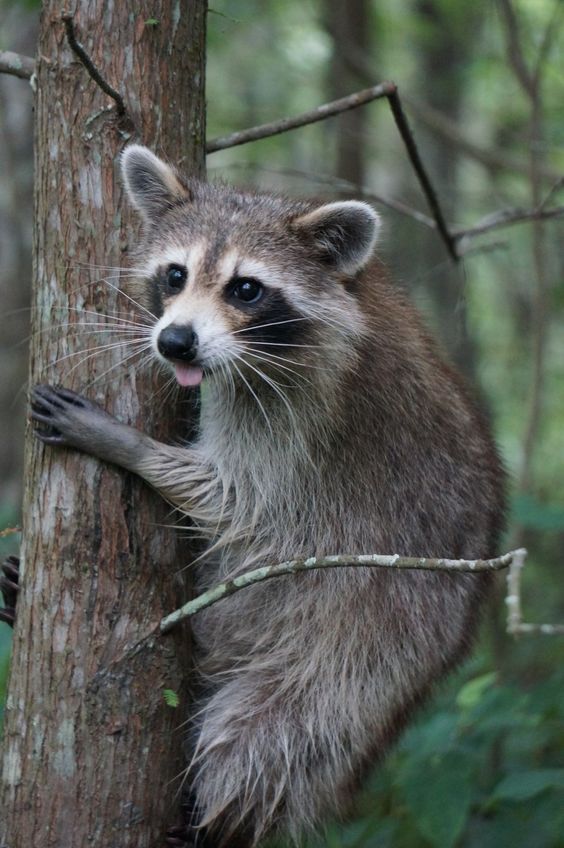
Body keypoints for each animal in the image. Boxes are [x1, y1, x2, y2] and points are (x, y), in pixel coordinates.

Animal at [30, 146, 504, 848]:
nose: (174, 342)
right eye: (175, 274)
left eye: (245, 288)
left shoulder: (300, 410)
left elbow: (237, 497)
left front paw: (126, 444)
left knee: (260, 748)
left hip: (360, 659)